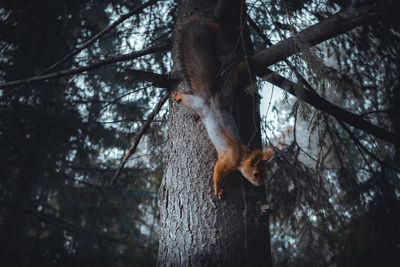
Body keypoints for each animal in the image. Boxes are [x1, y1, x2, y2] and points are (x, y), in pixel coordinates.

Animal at [170, 16, 274, 199]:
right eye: (255, 173)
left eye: (265, 172)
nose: (261, 184)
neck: (242, 155)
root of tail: (211, 98)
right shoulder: (227, 161)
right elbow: (217, 172)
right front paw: (218, 188)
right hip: (198, 104)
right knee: (188, 99)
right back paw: (178, 96)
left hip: (226, 95)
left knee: (233, 77)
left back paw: (241, 65)